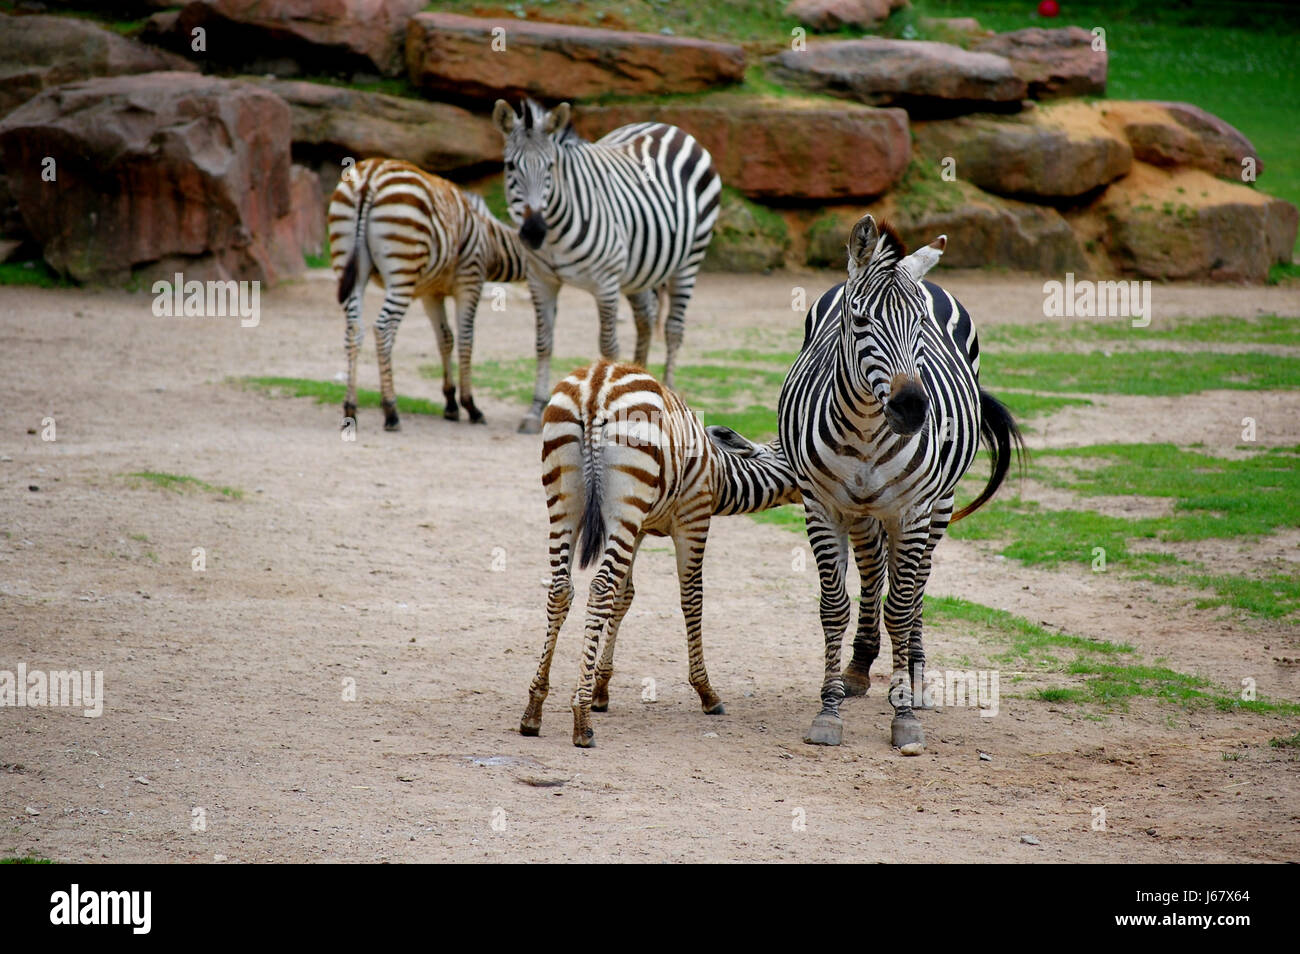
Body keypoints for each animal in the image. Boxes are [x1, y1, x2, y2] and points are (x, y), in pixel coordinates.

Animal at [330, 157, 527, 434]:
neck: (491, 241)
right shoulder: (470, 281)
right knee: (383, 328)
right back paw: (391, 410)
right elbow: (466, 340)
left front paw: (451, 403)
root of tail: (371, 176)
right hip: (402, 268)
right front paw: (470, 406)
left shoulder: (431, 293)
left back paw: (350, 407)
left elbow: (445, 339)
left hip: (348, 261)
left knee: (353, 330)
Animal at [491, 98, 728, 434]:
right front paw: (535, 409)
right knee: (645, 320)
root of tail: (669, 127)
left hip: (690, 258)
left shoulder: (605, 282)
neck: (554, 236)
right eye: (510, 166)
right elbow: (543, 343)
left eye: (550, 167)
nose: (534, 231)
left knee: (673, 329)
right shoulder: (541, 280)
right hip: (640, 270)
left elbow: (607, 345)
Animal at [522, 358, 795, 748]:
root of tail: (596, 385)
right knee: (599, 588)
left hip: (571, 503)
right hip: (621, 501)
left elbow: (624, 597)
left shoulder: (637, 528)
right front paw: (707, 692)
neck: (719, 472)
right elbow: (692, 599)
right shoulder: (693, 519)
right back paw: (582, 720)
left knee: (562, 589)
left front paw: (602, 688)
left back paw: (534, 709)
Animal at [769, 214, 1024, 753]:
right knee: (872, 574)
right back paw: (860, 666)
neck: (868, 428)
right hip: (865, 511)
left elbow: (903, 607)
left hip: (938, 504)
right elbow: (834, 607)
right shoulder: (822, 506)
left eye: (921, 326)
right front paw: (829, 709)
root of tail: (922, 270)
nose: (911, 409)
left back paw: (916, 678)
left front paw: (904, 714)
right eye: (860, 321)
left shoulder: (912, 510)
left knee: (918, 582)